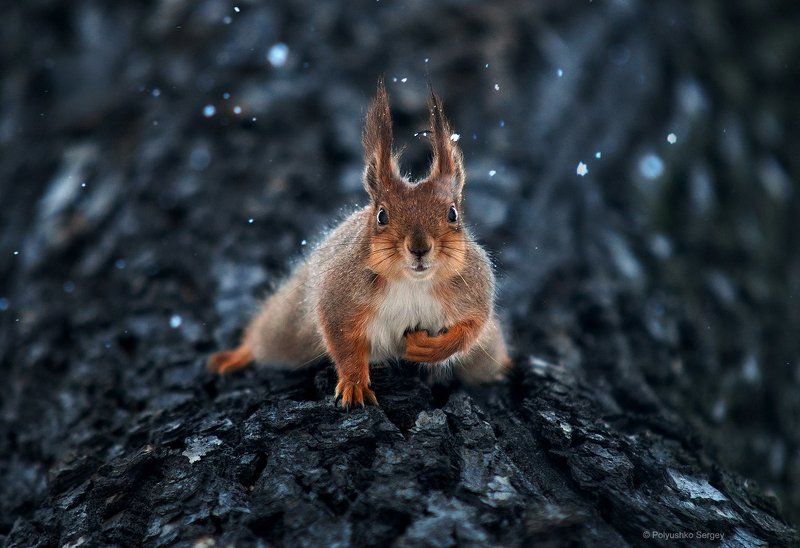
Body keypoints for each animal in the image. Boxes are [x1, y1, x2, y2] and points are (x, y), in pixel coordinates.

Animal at [208, 80, 511, 407]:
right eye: (381, 215)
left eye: (453, 213)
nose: (419, 248)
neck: (412, 281)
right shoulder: (338, 296)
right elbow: (343, 341)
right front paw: (354, 384)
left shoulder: (473, 289)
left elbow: (471, 327)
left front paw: (432, 349)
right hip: (292, 326)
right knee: (267, 339)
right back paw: (235, 356)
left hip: (485, 355)